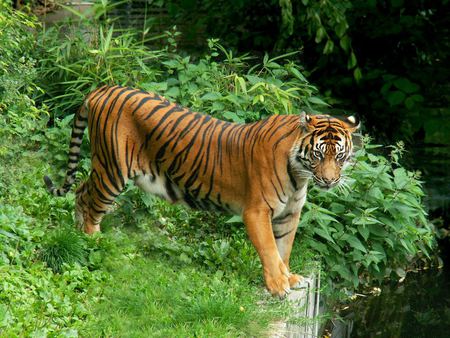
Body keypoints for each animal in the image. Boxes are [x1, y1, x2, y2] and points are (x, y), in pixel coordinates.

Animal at [42, 84, 358, 296]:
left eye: (340, 156)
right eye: (318, 155)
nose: (330, 181)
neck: (300, 174)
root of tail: (103, 89)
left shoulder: (290, 213)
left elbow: (284, 249)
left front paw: (290, 277)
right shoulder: (257, 211)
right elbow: (270, 249)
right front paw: (278, 286)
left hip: (105, 167)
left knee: (81, 191)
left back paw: (77, 233)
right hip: (113, 169)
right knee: (91, 201)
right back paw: (93, 242)